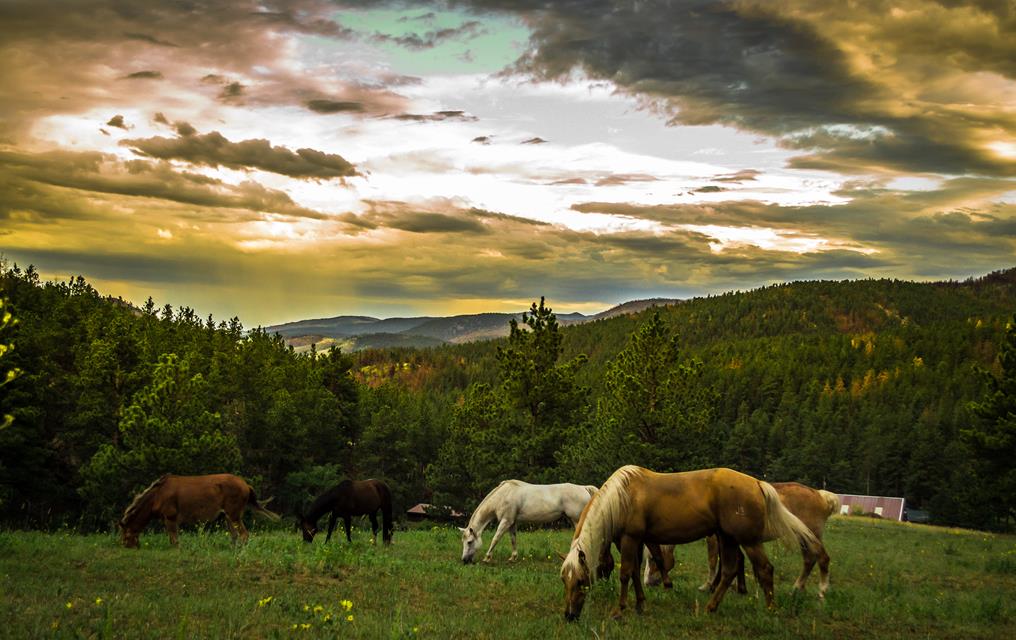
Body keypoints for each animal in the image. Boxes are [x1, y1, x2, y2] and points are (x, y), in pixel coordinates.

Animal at [119, 473, 280, 548]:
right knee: (234, 535)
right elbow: (173, 538)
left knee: (244, 534)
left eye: (125, 534)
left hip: (234, 514)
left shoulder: (170, 517)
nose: (127, 546)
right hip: (227, 516)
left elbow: (174, 539)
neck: (156, 497)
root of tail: (246, 485)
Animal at [460, 480, 598, 564]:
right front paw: (513, 557)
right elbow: (513, 539)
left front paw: (487, 558)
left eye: (469, 542)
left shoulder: (506, 521)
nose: (464, 560)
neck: (503, 496)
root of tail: (583, 488)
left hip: (576, 520)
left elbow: (496, 538)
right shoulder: (512, 523)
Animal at [644, 482, 840, 598]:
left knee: (822, 558)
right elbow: (737, 560)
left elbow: (714, 561)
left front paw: (709, 586)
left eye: (653, 560)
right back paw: (797, 588)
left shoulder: (714, 538)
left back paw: (822, 591)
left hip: (810, 536)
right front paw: (739, 588)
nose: (647, 583)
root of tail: (821, 495)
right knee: (809, 560)